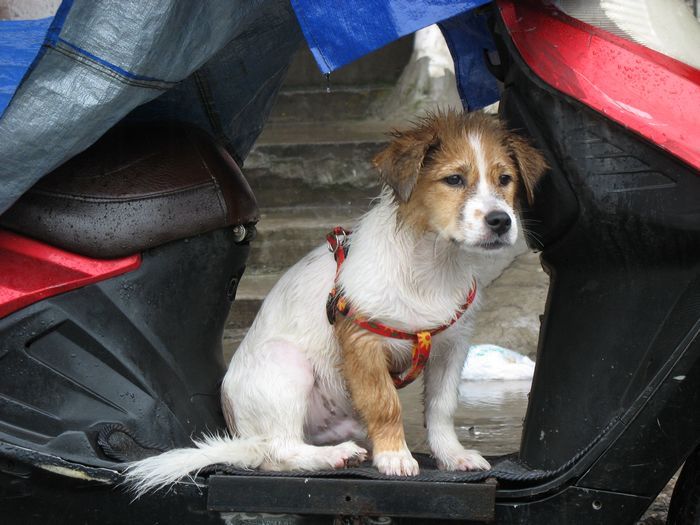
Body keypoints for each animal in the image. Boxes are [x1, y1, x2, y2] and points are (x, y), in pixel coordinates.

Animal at [126, 110, 548, 496]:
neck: (433, 265)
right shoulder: (363, 341)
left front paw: (452, 455)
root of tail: (241, 435)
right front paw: (395, 456)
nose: (501, 221)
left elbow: (441, 408)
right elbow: (385, 403)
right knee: (277, 452)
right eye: (454, 180)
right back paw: (332, 456)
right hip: (285, 362)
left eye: (505, 179)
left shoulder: (451, 346)